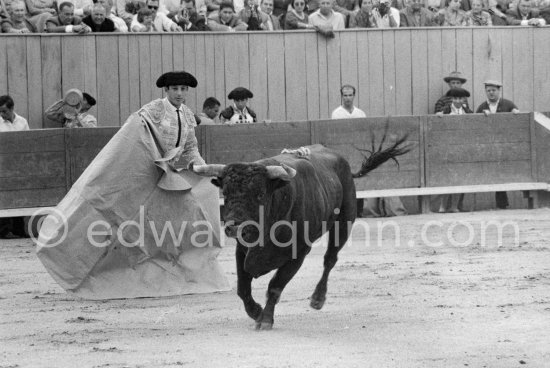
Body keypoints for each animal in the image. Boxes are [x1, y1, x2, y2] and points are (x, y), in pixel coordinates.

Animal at [192, 134, 412, 330]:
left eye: (260, 194)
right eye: (225, 193)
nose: (234, 227)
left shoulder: (299, 253)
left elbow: (275, 285)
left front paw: (265, 319)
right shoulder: (242, 250)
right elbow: (242, 288)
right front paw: (256, 312)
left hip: (344, 222)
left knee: (330, 259)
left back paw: (318, 298)